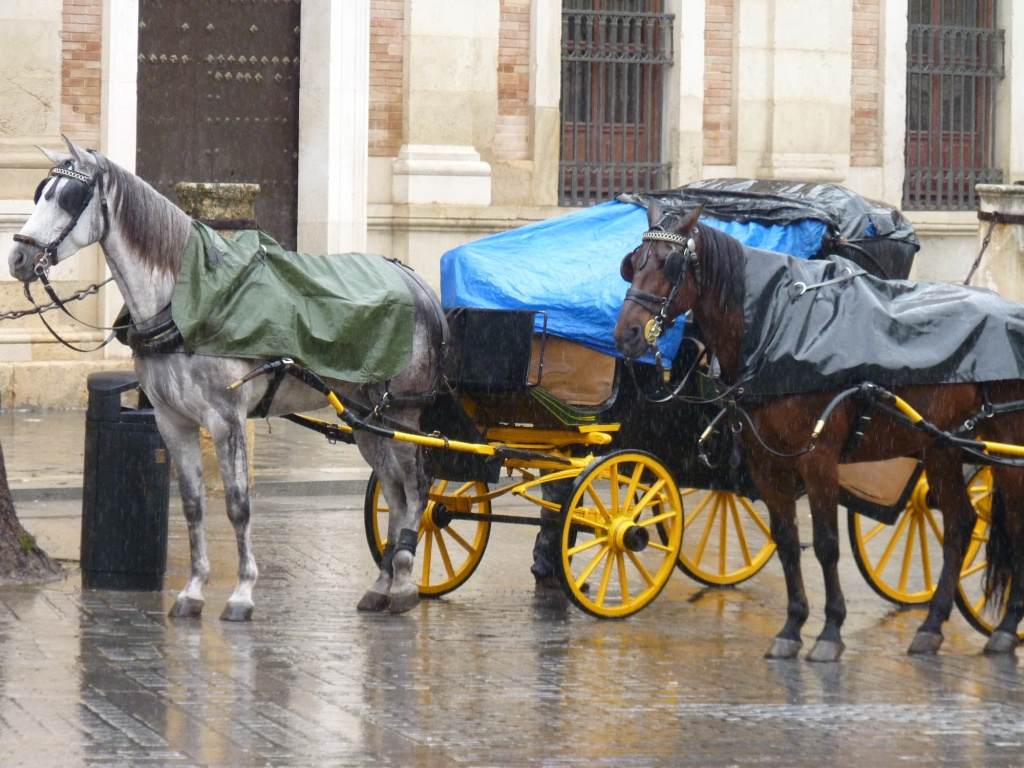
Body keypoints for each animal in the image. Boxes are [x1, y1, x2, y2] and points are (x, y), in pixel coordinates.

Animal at [9, 137, 444, 618]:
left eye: (69, 198)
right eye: (40, 192)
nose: (18, 257)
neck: (186, 301)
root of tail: (416, 283)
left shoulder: (225, 418)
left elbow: (238, 505)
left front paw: (242, 592)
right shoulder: (172, 420)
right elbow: (193, 505)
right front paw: (193, 589)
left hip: (403, 414)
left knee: (417, 487)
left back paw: (402, 581)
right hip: (367, 418)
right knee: (394, 491)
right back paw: (382, 583)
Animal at [610, 202, 1024, 663]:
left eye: (670, 264)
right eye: (633, 264)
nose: (626, 334)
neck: (776, 327)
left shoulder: (818, 458)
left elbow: (826, 544)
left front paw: (829, 632)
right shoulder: (766, 462)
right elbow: (787, 541)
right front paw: (792, 627)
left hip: (1006, 448)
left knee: (1013, 526)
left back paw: (1004, 629)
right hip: (941, 447)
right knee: (959, 524)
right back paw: (932, 626)